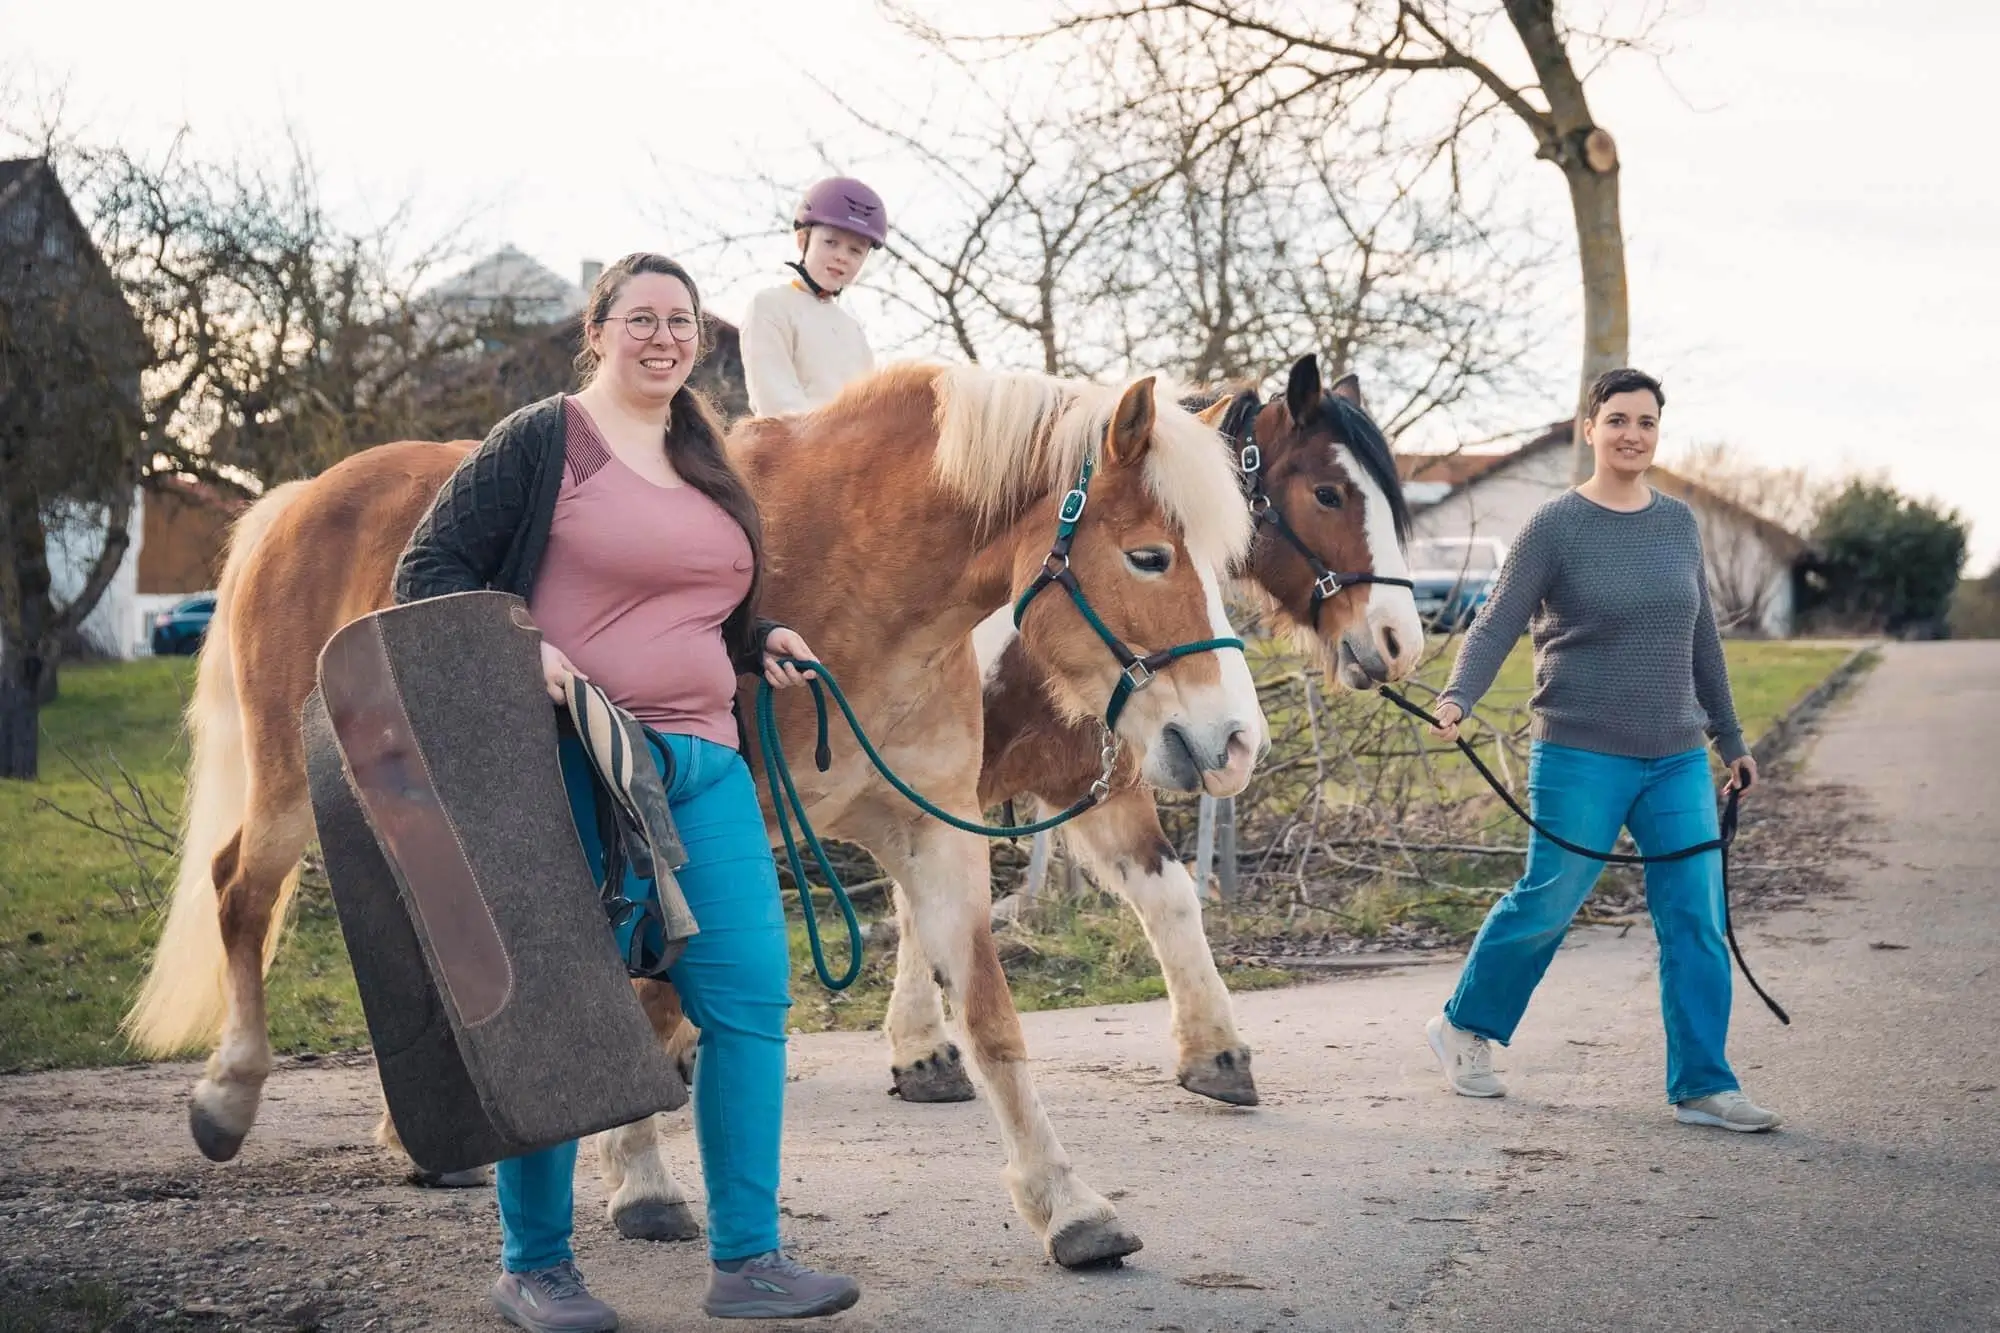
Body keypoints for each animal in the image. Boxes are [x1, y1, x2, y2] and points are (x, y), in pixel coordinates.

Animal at [123, 360, 1267, 1269]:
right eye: (1149, 556)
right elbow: (657, 997)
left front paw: (1067, 1203)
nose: (1234, 742)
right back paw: (228, 1095)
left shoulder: (936, 832)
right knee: (240, 892)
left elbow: (989, 1016)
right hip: (287, 790)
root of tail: (301, 500)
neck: (861, 575)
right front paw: (641, 1177)